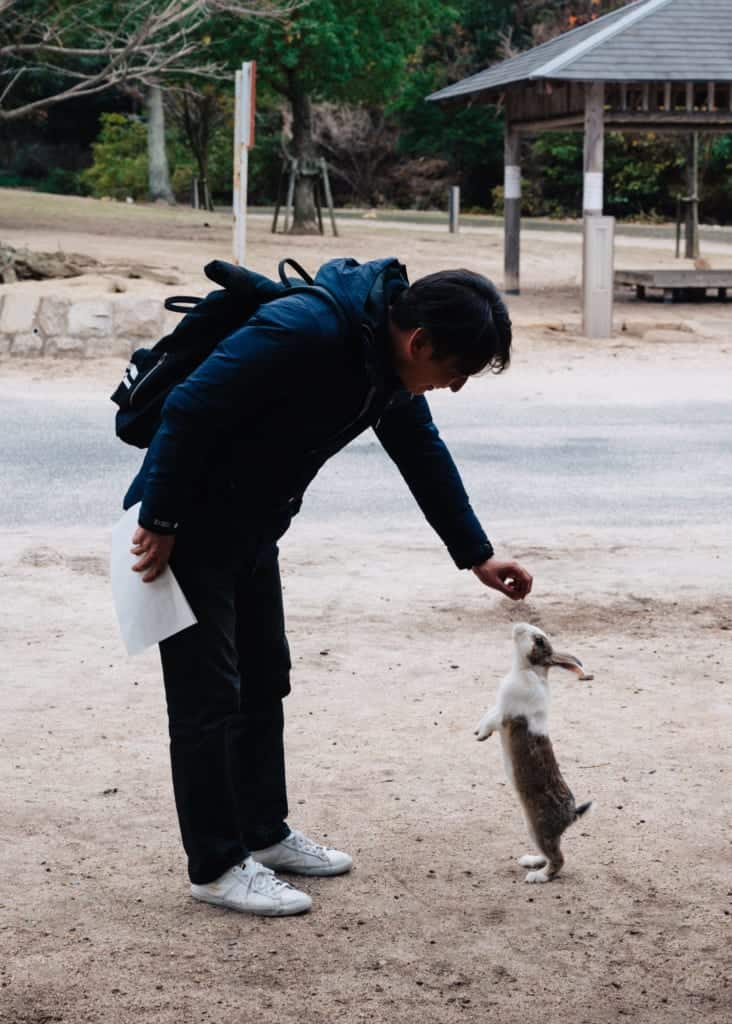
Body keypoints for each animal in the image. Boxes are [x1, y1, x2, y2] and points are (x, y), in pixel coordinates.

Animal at [476, 622, 595, 883]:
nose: (518, 625)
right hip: (533, 828)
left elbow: (493, 720)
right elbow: (488, 714)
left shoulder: (506, 715)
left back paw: (536, 876)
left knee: (558, 860)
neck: (526, 669)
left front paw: (481, 735)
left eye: (539, 640)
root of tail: (570, 815)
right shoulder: (498, 708)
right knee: (549, 854)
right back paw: (531, 861)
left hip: (539, 827)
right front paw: (478, 733)